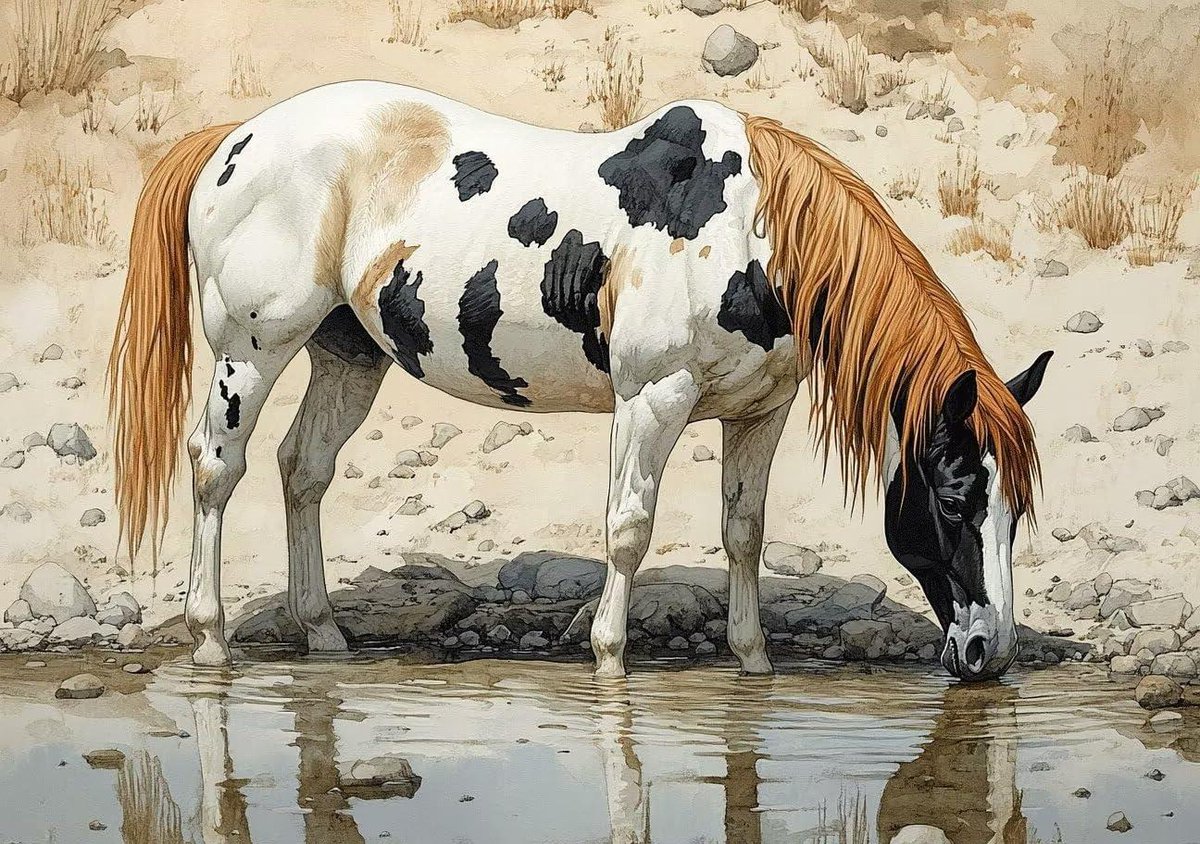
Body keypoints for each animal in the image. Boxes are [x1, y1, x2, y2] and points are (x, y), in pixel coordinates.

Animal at [108, 81, 1051, 681]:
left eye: (1018, 506)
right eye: (957, 498)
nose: (988, 655)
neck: (750, 232)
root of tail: (232, 142)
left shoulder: (760, 412)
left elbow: (743, 531)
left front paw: (753, 662)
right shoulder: (652, 402)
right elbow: (629, 532)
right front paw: (607, 660)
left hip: (348, 355)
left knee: (302, 471)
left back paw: (324, 637)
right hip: (251, 353)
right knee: (215, 469)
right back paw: (210, 642)